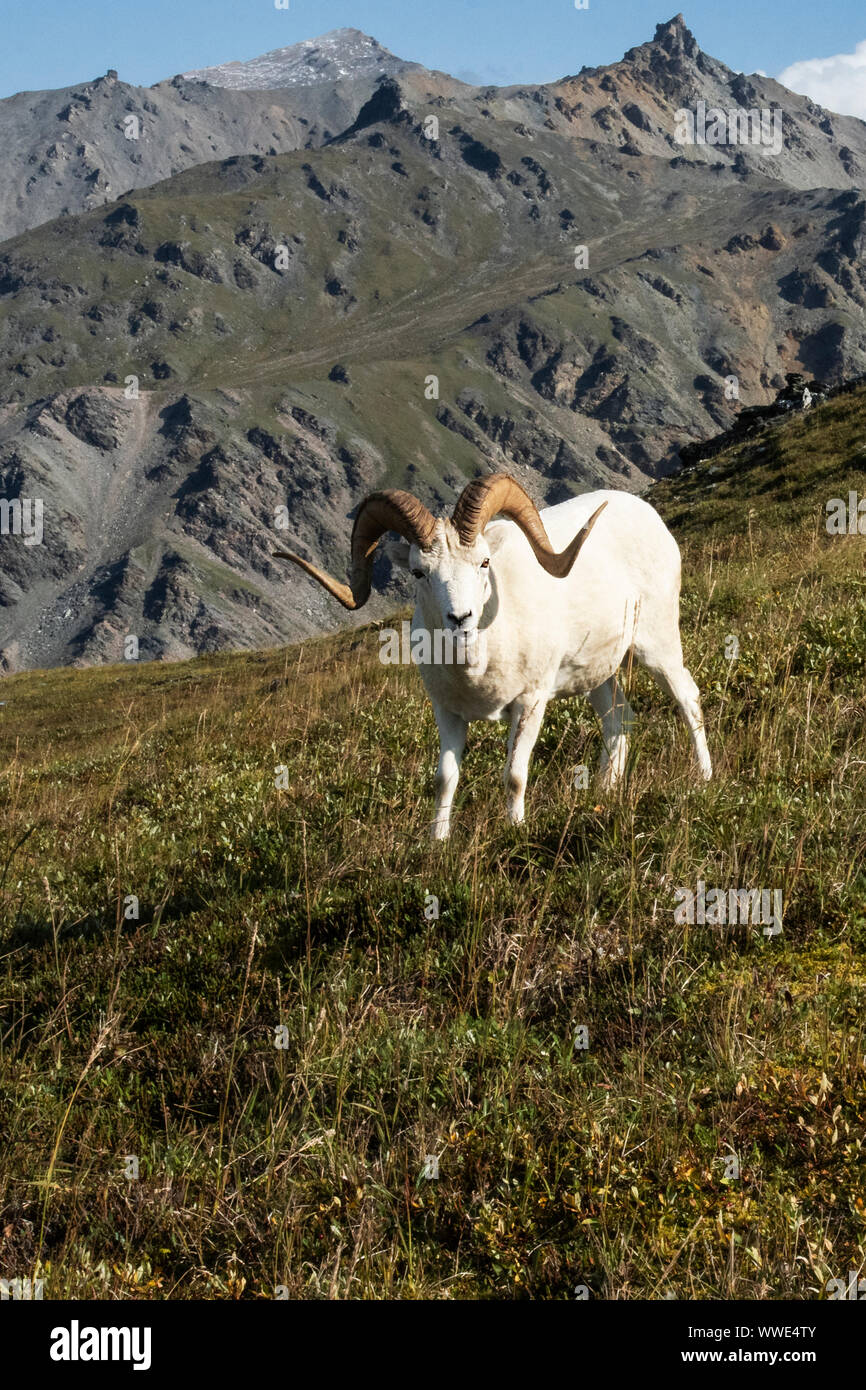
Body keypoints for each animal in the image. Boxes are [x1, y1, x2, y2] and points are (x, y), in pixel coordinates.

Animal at [275, 473, 712, 839]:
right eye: (419, 572)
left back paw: (703, 779)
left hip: (657, 645)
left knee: (687, 699)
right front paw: (437, 842)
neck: (477, 667)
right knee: (618, 721)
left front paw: (514, 830)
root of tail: (648, 515)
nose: (461, 618)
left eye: (484, 562)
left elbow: (514, 775)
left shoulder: (530, 704)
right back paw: (604, 793)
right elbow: (445, 778)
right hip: (598, 675)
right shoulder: (447, 713)